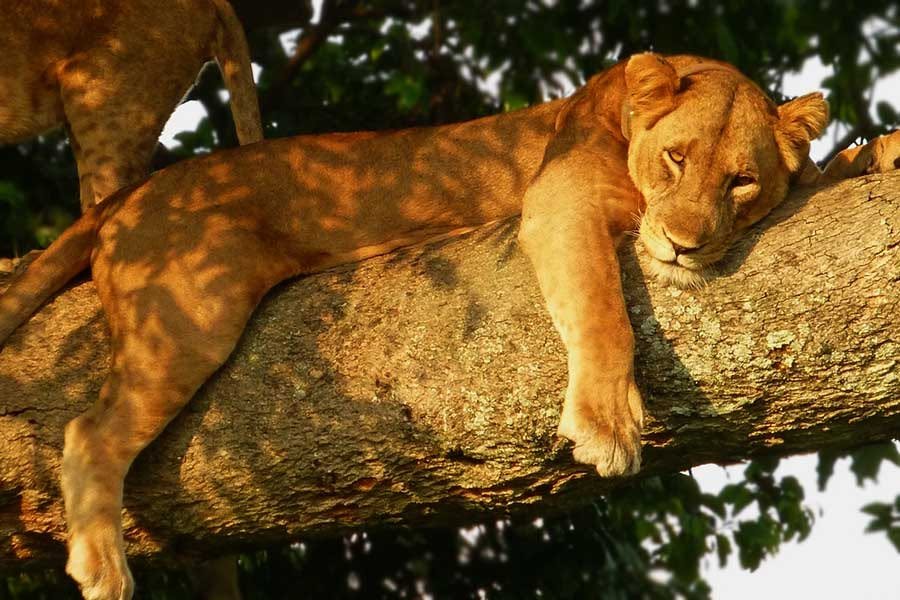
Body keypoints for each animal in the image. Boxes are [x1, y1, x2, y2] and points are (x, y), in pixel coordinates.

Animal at [0, 53, 898, 599]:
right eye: (675, 159)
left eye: (741, 181)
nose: (684, 243)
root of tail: (132, 194)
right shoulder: (557, 202)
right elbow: (602, 313)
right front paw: (607, 423)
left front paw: (871, 155)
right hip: (191, 310)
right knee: (88, 431)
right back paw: (103, 563)